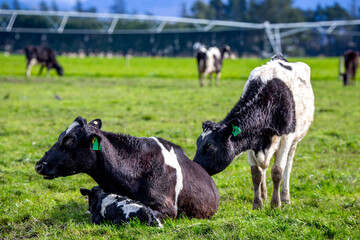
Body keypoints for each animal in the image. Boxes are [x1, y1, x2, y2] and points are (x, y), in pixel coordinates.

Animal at [193, 54, 314, 210]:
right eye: (197, 144)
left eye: (210, 146)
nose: (194, 169)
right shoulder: (250, 142)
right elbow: (256, 174)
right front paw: (257, 204)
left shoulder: (286, 138)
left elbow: (277, 171)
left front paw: (276, 204)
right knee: (263, 169)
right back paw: (264, 194)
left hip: (294, 142)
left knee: (288, 165)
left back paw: (285, 197)